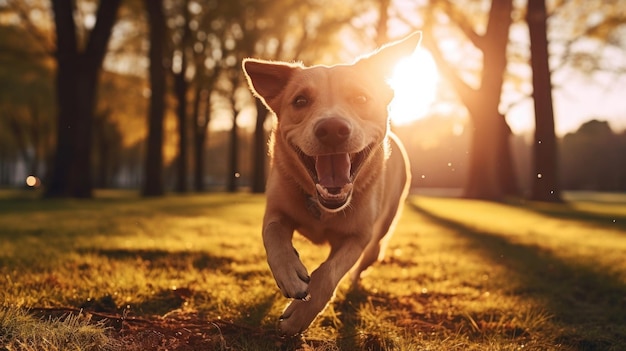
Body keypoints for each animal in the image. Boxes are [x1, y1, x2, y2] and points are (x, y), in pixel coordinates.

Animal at [241, 31, 422, 336]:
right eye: (300, 101)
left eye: (361, 97)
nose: (333, 129)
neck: (324, 208)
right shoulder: (275, 209)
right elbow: (273, 234)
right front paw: (289, 272)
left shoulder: (359, 236)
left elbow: (329, 272)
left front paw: (300, 315)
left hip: (379, 238)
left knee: (363, 264)